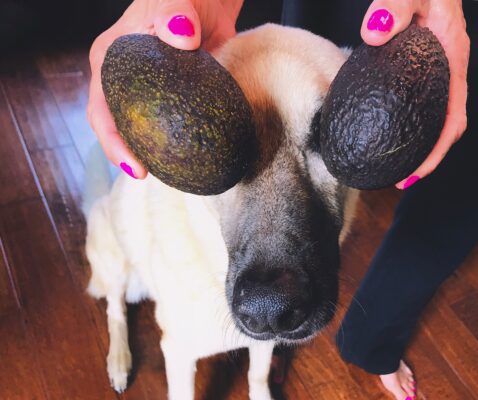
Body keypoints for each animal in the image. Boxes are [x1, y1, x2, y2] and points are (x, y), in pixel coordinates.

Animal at [84, 23, 358, 398]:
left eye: (324, 134)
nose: (269, 307)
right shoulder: (179, 354)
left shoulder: (262, 342)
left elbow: (257, 374)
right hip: (113, 254)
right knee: (116, 306)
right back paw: (119, 359)